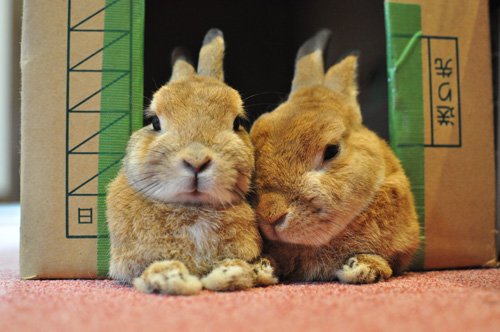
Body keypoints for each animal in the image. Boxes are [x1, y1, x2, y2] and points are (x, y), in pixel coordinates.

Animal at [107, 27, 278, 294]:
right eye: (154, 122)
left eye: (238, 122)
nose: (197, 161)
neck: (193, 209)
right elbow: (147, 270)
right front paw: (171, 277)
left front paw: (231, 273)